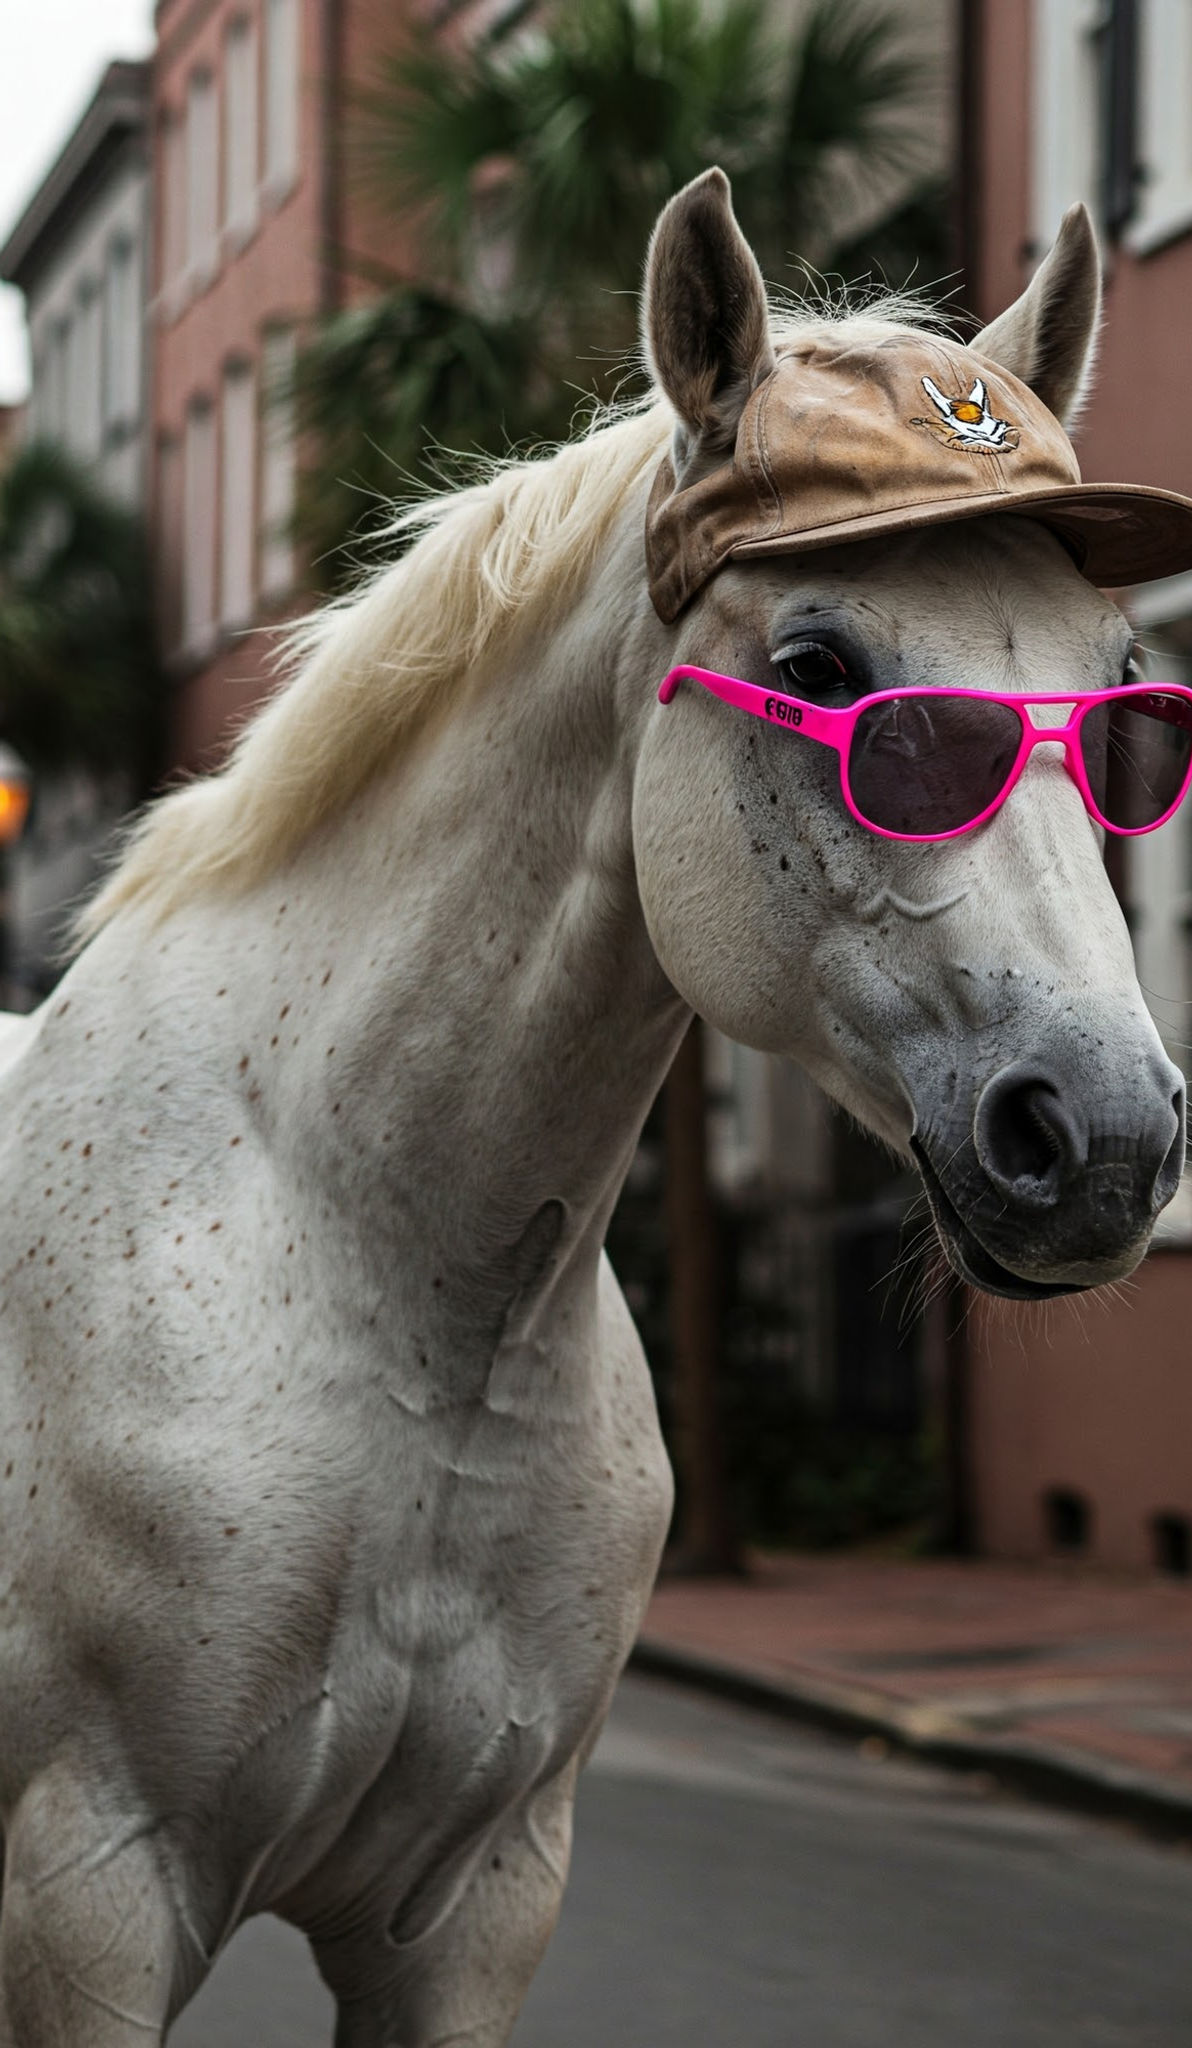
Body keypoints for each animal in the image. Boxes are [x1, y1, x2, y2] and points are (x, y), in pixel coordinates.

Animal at [0, 167, 1186, 2045]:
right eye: (821, 661)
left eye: (1123, 686)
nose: (1105, 1141)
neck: (395, 1304)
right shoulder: (89, 1899)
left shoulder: (473, 1912)